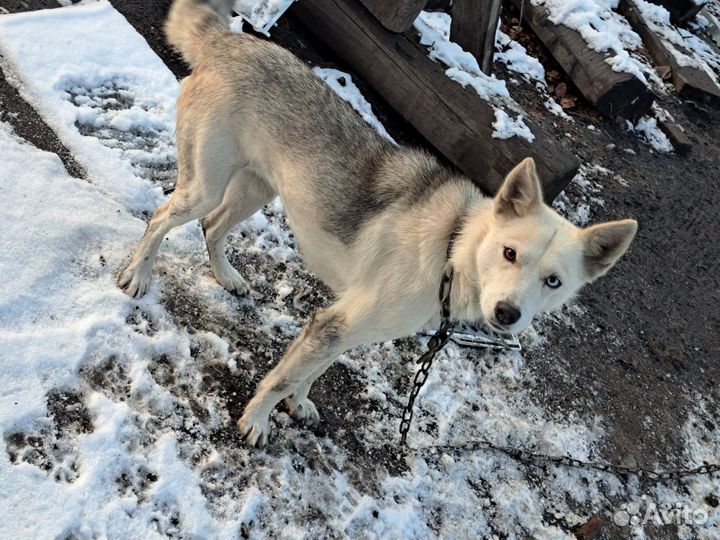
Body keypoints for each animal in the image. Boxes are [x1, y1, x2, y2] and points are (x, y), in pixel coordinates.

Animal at [116, 0, 636, 448]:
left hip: (256, 188)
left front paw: (297, 404)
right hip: (205, 184)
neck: (451, 248)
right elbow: (283, 377)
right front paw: (257, 420)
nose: (508, 314)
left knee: (213, 227)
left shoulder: (344, 327)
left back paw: (226, 276)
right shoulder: (335, 324)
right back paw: (138, 275)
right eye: (509, 253)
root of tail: (228, 40)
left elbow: (311, 373)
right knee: (164, 216)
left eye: (554, 281)